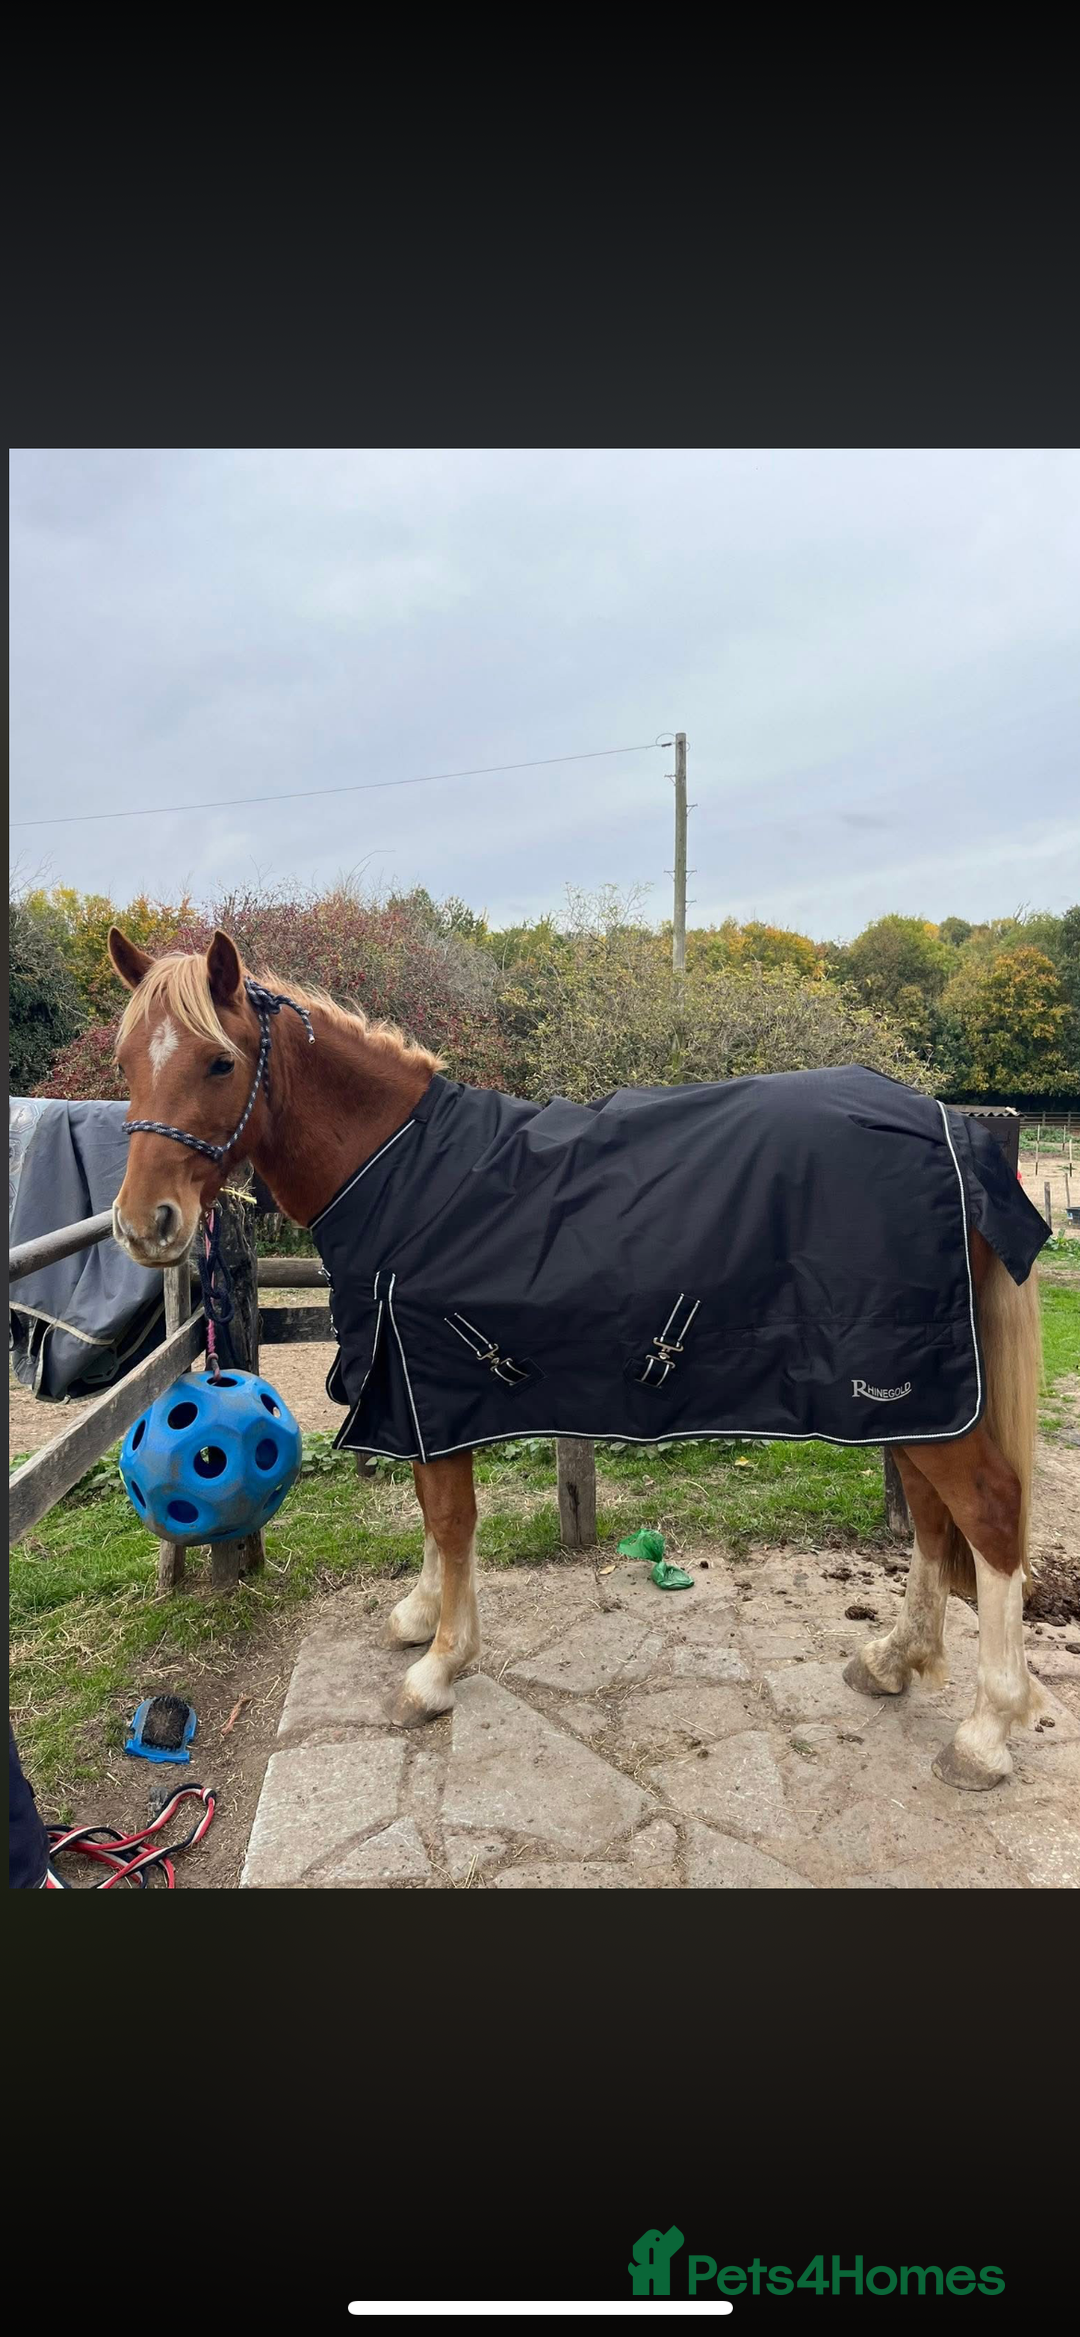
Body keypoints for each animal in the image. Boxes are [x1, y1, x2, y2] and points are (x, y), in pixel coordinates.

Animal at [107, 923, 1051, 1790]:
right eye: (125, 1061)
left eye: (220, 1063)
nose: (144, 1224)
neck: (400, 1173)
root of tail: (952, 1127)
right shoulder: (411, 1392)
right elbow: (428, 1511)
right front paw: (418, 1615)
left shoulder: (432, 1382)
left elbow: (449, 1516)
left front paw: (439, 1666)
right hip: (909, 1397)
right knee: (932, 1516)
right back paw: (894, 1659)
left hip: (914, 1385)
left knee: (991, 1511)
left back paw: (985, 1731)